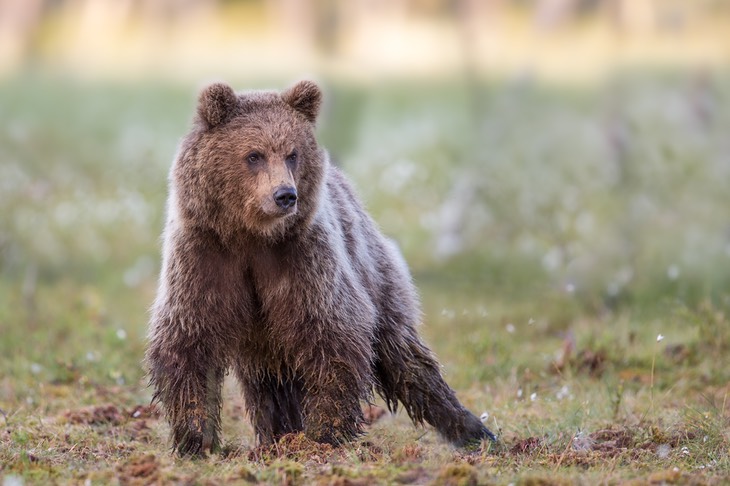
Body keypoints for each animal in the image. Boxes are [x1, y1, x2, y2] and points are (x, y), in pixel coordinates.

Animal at [144, 79, 494, 456]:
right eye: (254, 155)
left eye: (292, 153)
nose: (285, 195)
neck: (252, 236)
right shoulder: (205, 256)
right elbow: (188, 339)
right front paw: (195, 440)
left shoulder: (304, 258)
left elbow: (332, 333)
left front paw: (325, 434)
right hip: (262, 334)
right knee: (268, 377)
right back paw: (276, 436)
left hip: (374, 271)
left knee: (404, 356)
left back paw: (471, 428)